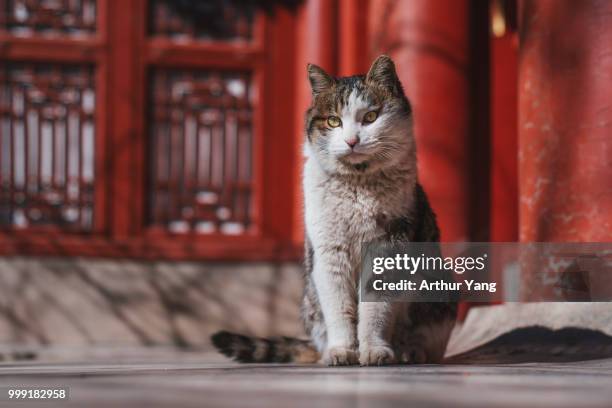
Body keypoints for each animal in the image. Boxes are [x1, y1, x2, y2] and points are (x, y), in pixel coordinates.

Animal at [210, 55, 454, 366]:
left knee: (425, 338)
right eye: (333, 121)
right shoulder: (329, 253)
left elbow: (374, 308)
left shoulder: (387, 244)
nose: (352, 141)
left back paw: (409, 352)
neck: (357, 186)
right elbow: (339, 310)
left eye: (370, 117)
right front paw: (342, 352)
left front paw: (374, 351)